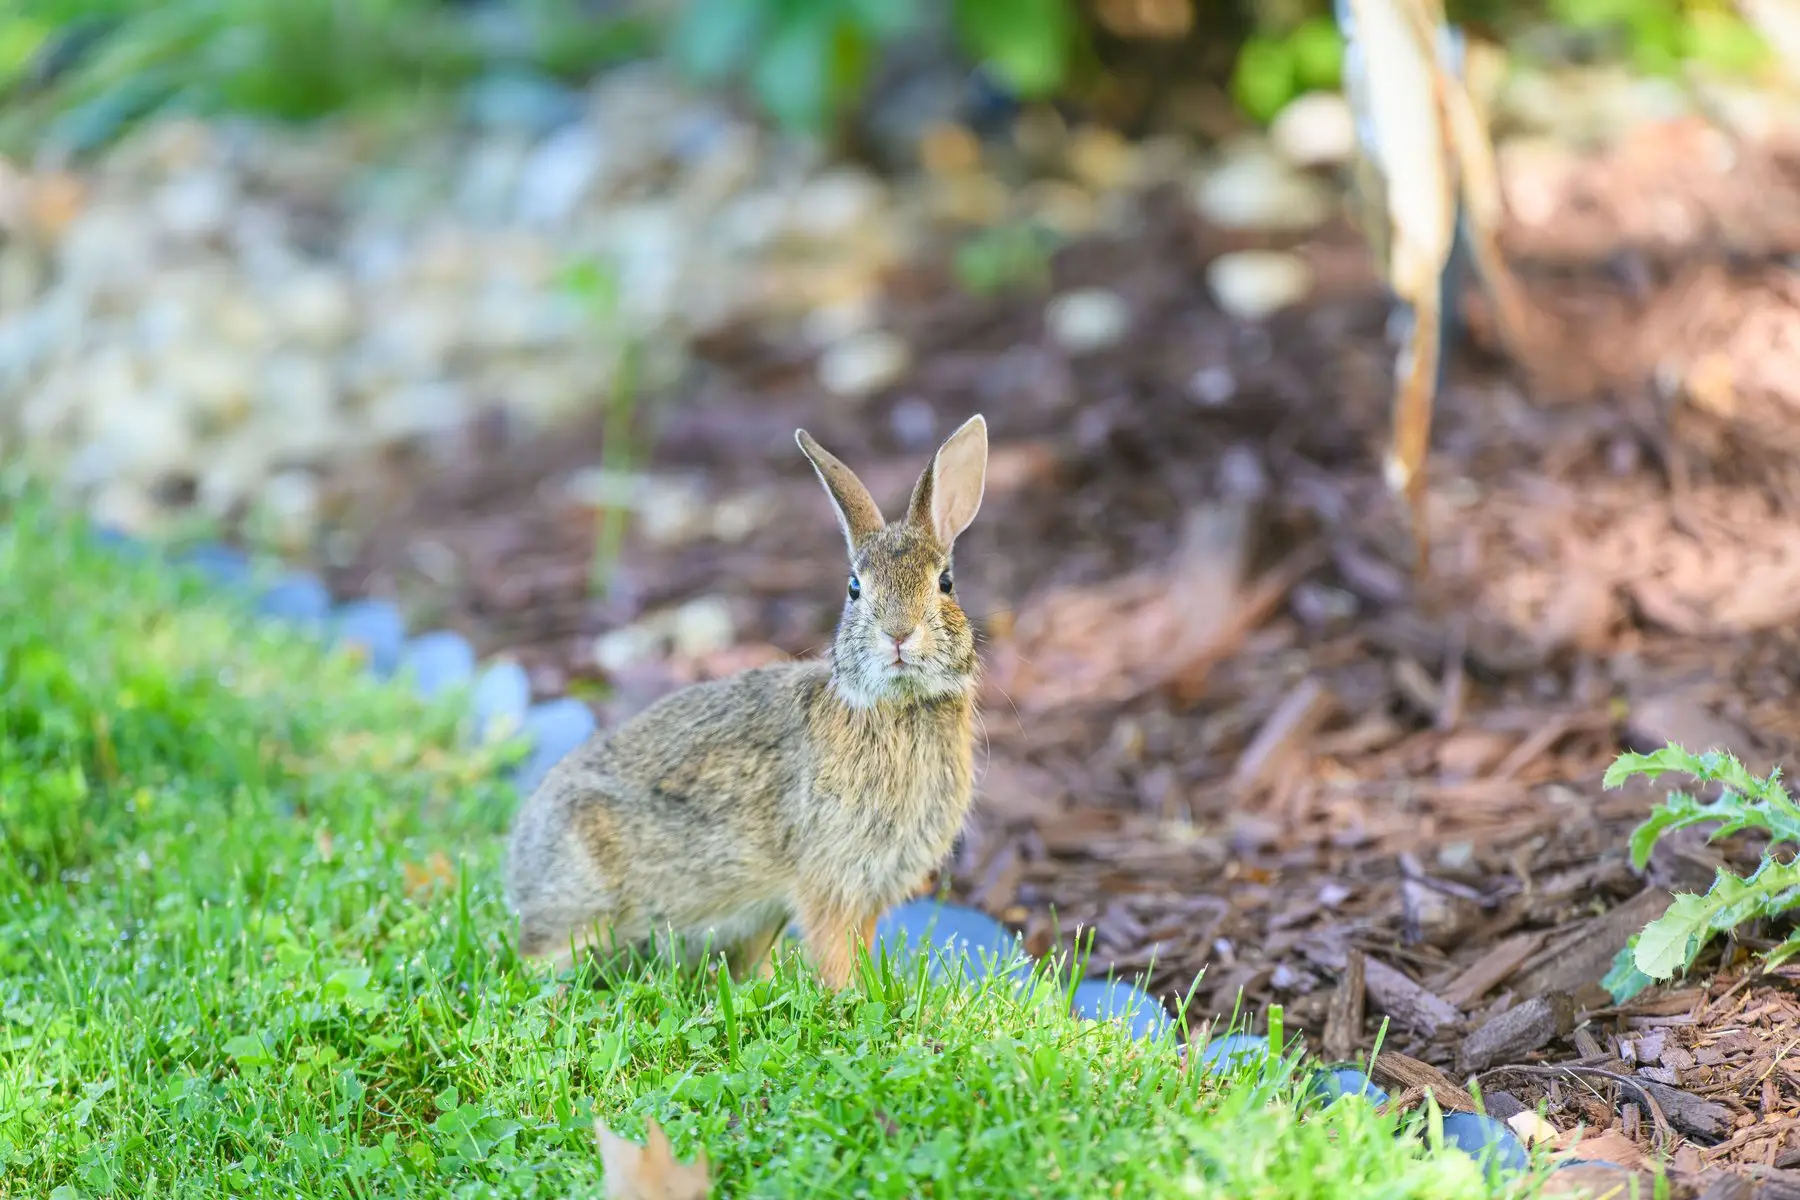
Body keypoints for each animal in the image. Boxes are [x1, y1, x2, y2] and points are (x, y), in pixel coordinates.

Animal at [505, 414, 989, 989]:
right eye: (854, 588)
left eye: (946, 583)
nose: (898, 634)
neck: (896, 706)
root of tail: (520, 865)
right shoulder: (829, 882)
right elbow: (834, 951)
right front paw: (848, 995)